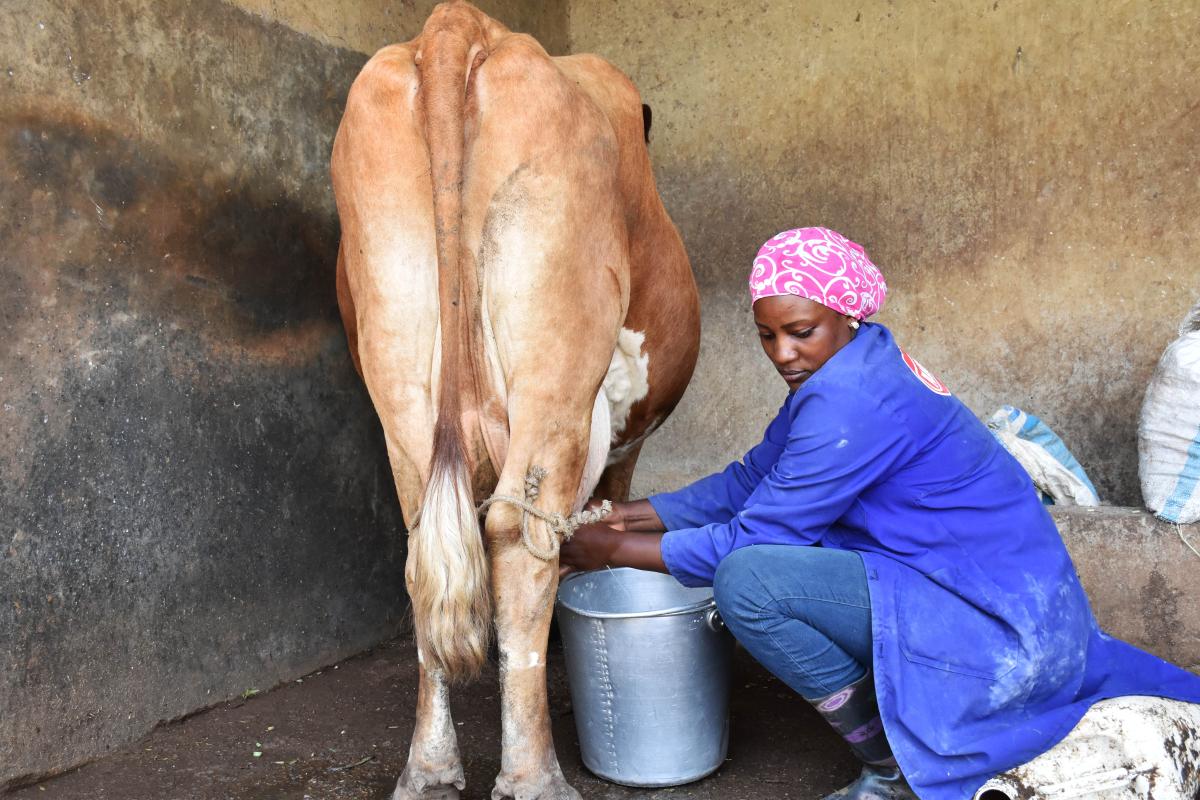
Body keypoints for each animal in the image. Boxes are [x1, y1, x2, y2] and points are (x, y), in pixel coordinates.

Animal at [331, 3, 700, 796]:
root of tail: (455, 25)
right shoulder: (621, 442)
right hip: (554, 366)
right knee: (517, 537)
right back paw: (534, 775)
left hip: (398, 359)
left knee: (425, 546)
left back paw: (429, 769)